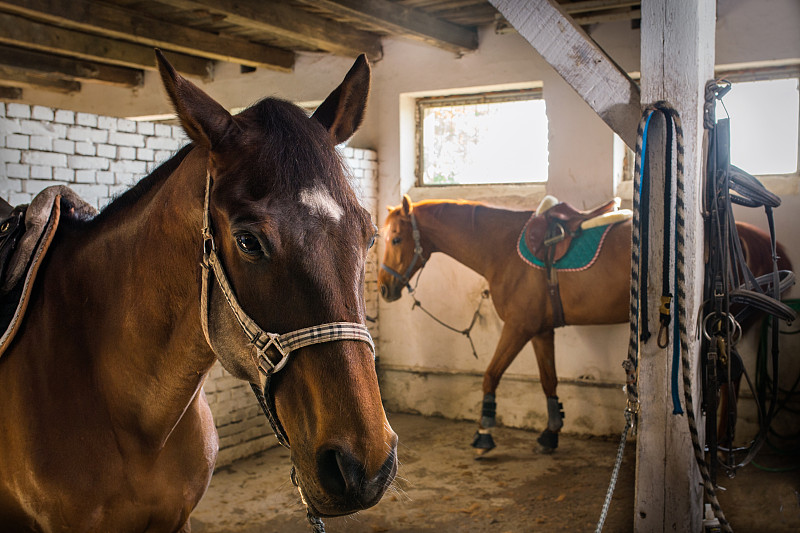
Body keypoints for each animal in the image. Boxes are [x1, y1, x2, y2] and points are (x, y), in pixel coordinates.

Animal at [378, 195, 792, 454]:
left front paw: (483, 432)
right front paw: (550, 433)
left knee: (729, 377)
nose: (383, 288)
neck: (502, 248)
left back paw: (721, 445)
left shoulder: (518, 328)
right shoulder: (540, 331)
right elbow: (549, 380)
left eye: (396, 238)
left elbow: (491, 375)